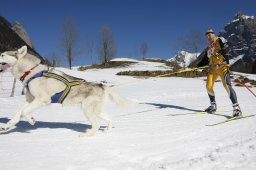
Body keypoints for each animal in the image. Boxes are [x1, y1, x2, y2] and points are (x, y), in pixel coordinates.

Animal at [0, 45, 132, 136]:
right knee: (109, 119)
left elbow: (24, 112)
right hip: (97, 110)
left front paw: (31, 120)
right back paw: (107, 131)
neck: (31, 71)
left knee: (96, 124)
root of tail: (102, 85)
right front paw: (6, 127)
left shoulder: (43, 99)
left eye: (2, 55)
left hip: (87, 109)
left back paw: (86, 135)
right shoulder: (30, 100)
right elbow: (18, 114)